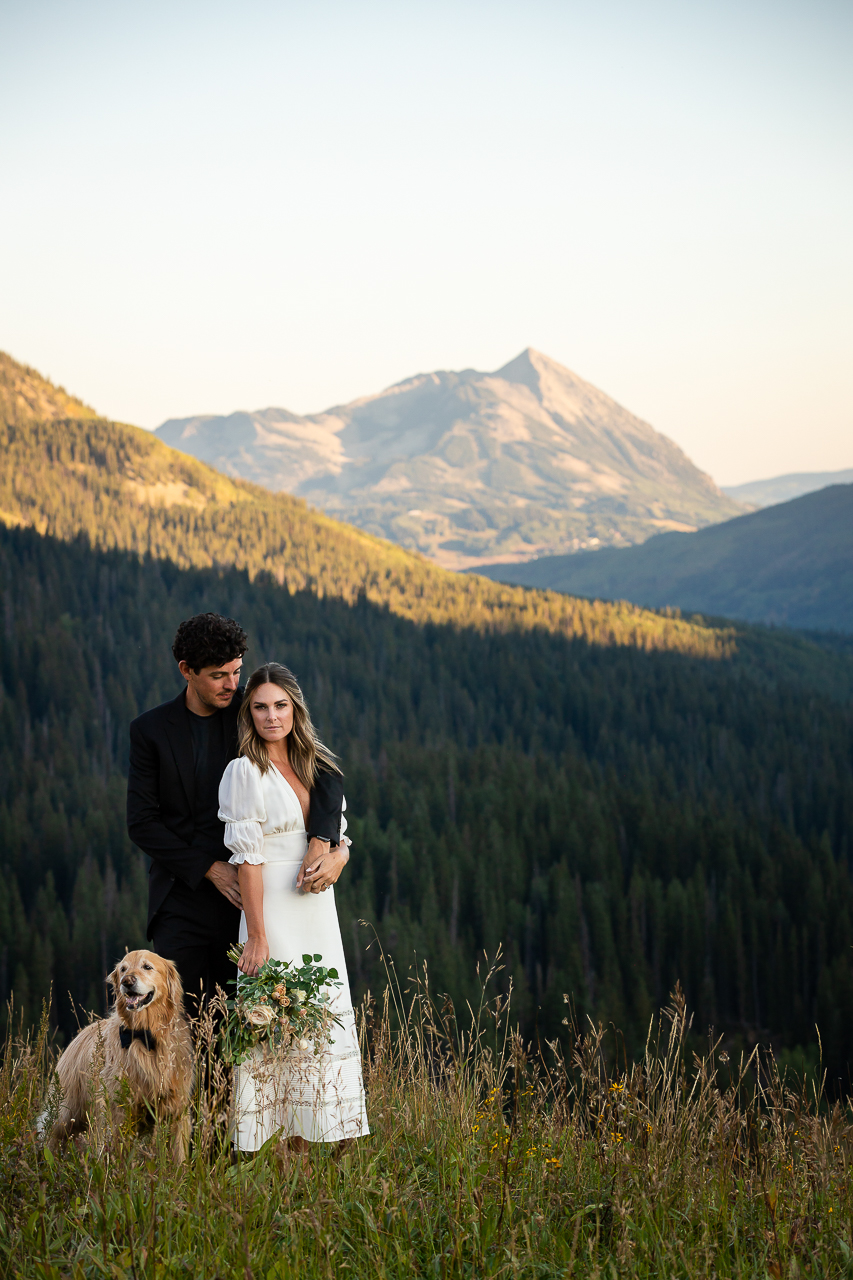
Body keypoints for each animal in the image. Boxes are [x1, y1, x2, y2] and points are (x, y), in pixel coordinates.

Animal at [47, 952, 194, 1162]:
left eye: (147, 967)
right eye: (123, 969)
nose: (127, 981)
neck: (145, 1035)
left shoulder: (175, 1107)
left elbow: (178, 1154)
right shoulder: (117, 1109)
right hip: (65, 1112)